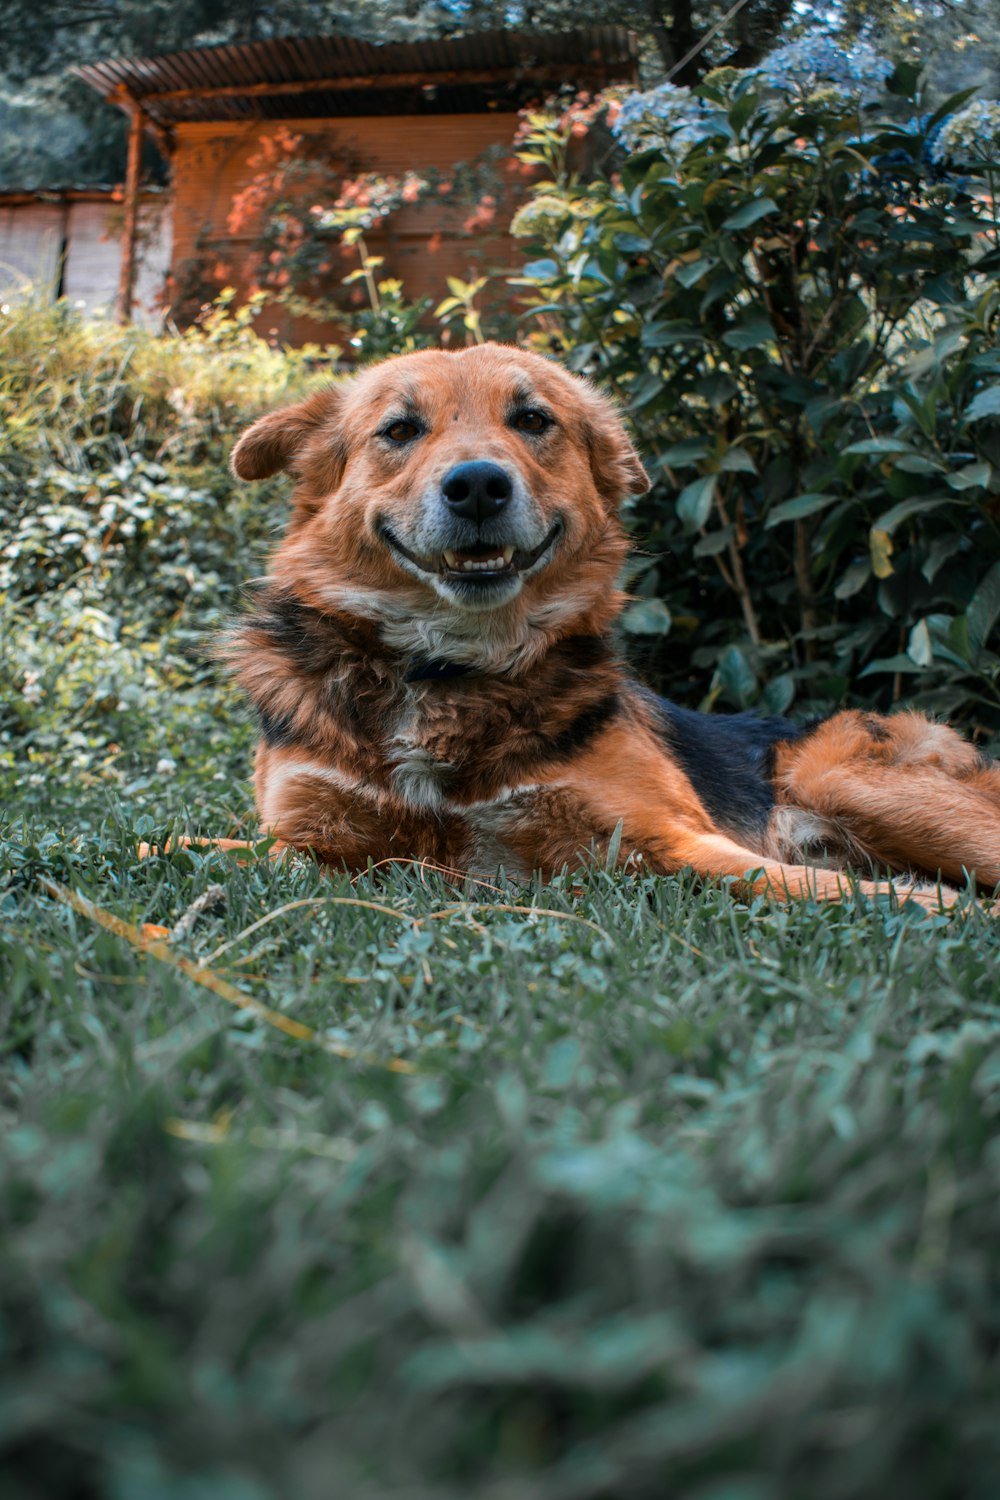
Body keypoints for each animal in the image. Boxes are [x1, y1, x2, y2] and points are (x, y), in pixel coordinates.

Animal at [194, 343, 1000, 906]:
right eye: (399, 429)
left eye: (532, 419)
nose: (478, 485)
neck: (449, 667)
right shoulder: (303, 840)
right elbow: (191, 846)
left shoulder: (667, 835)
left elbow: (810, 886)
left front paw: (944, 911)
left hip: (845, 779)